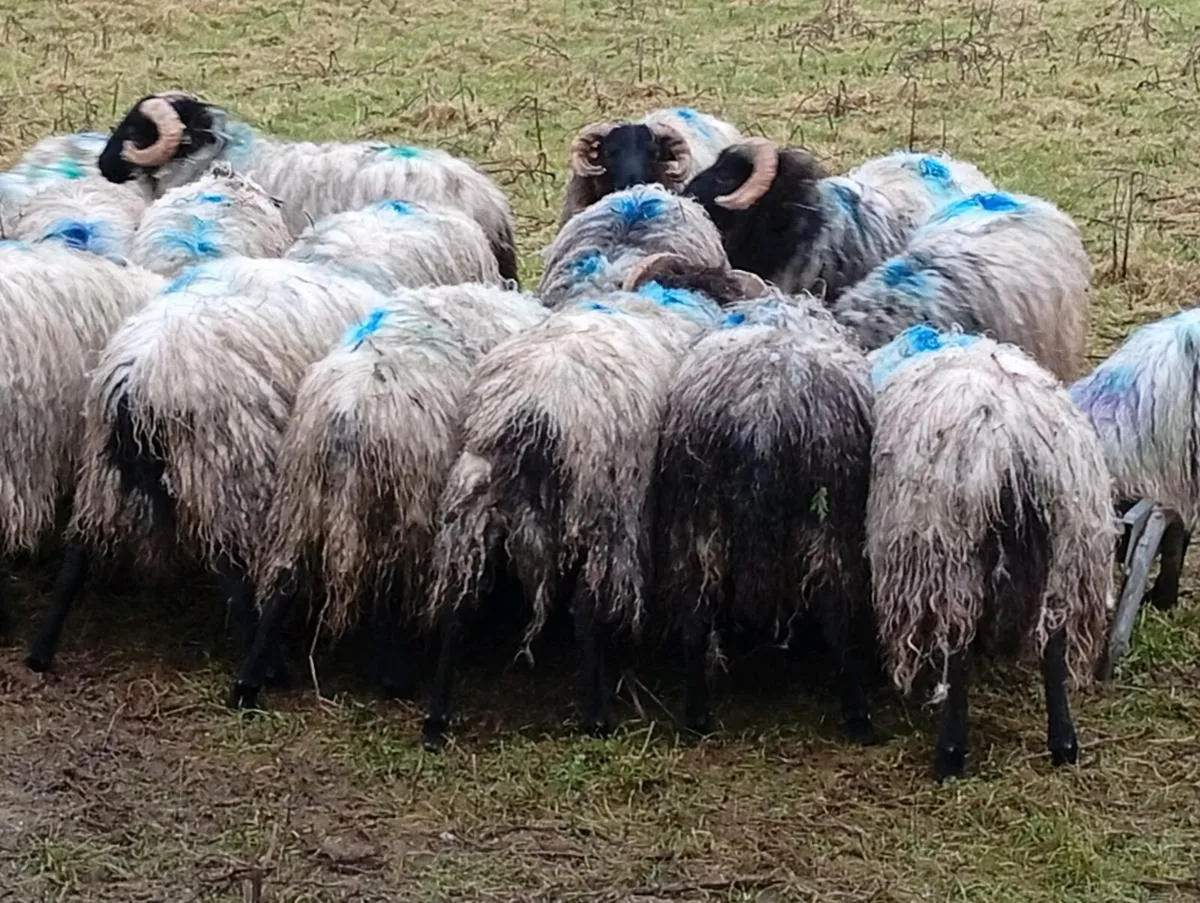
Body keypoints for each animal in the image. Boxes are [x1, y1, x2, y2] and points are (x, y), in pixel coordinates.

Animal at [230, 284, 549, 708]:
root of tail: (348, 416)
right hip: (404, 497)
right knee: (388, 583)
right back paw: (393, 675)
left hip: (303, 492)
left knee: (284, 582)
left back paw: (247, 683)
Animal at [422, 283, 722, 747]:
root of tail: (534, 409)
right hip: (605, 507)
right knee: (585, 607)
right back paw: (597, 716)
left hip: (474, 493)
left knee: (459, 600)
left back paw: (437, 717)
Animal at [651, 285, 876, 740]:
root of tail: (763, 417)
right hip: (829, 518)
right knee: (836, 611)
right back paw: (857, 713)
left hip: (697, 512)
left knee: (696, 612)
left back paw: (696, 715)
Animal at [867, 325, 1114, 780]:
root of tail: (1013, 444)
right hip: (1065, 544)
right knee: (1053, 644)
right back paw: (1064, 743)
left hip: (952, 548)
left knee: (958, 648)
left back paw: (949, 753)